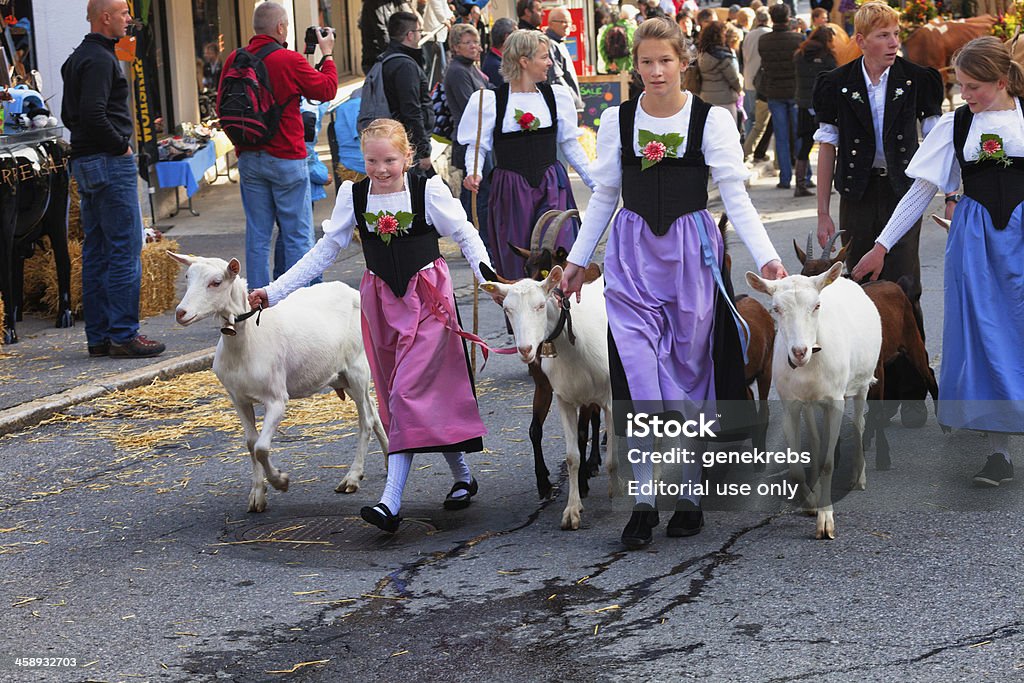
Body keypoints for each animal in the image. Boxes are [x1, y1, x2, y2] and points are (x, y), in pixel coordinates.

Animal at [172, 254, 387, 511]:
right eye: (187, 277)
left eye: (216, 282)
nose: (181, 313)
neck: (246, 342)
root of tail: (353, 292)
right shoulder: (238, 399)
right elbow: (251, 443)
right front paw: (257, 495)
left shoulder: (276, 399)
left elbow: (262, 448)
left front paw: (280, 481)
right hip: (340, 376)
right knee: (372, 407)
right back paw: (388, 458)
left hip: (358, 368)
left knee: (365, 420)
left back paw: (352, 478)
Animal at [481, 266, 614, 528]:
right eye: (507, 309)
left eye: (540, 305)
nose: (525, 350)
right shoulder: (564, 398)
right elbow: (572, 456)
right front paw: (572, 510)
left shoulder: (610, 398)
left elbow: (611, 453)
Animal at [745, 262, 880, 540]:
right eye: (776, 309)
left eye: (817, 305)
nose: (799, 352)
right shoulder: (791, 404)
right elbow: (797, 468)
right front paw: (811, 502)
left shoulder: (835, 400)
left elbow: (829, 463)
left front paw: (826, 521)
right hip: (810, 402)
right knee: (818, 438)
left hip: (861, 383)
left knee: (858, 424)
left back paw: (858, 477)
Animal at [794, 232, 937, 466]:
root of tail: (895, 284)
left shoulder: (876, 370)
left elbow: (876, 409)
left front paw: (883, 456)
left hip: (911, 340)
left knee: (928, 373)